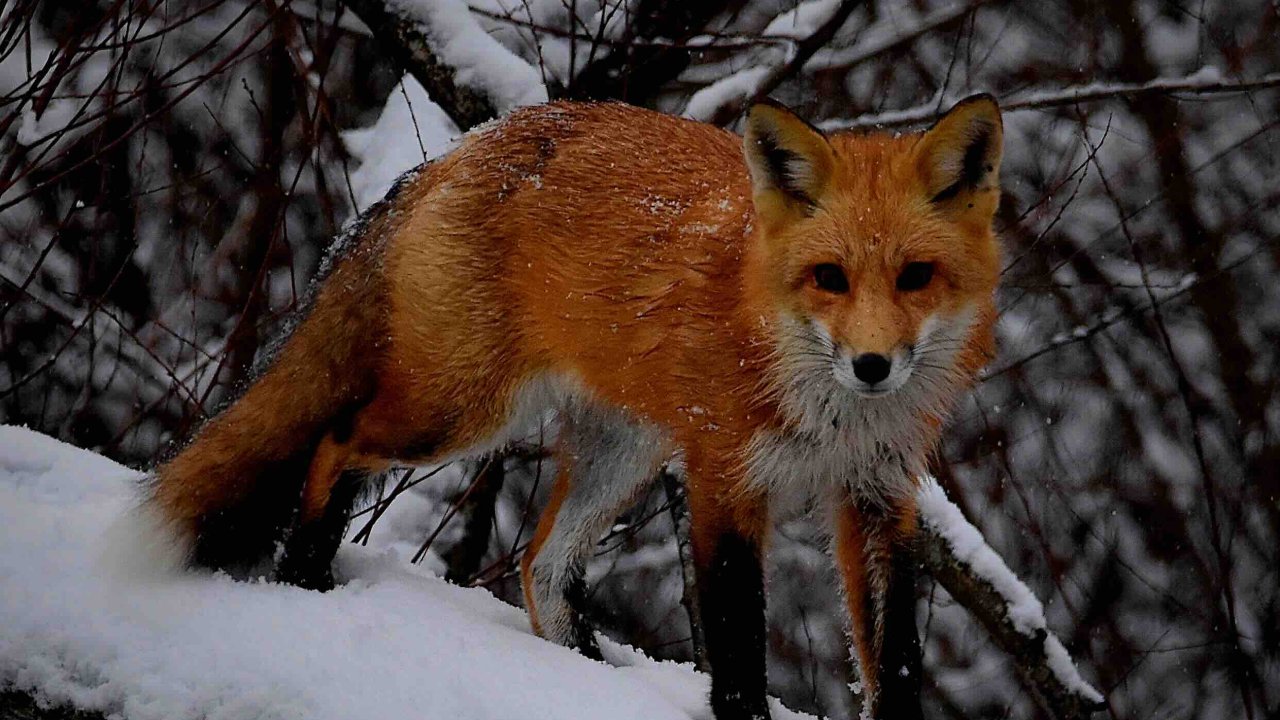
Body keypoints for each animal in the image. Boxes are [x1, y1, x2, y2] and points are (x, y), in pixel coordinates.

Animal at [137, 96, 1002, 720]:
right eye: (830, 278)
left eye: (915, 277)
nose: (872, 367)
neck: (831, 413)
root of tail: (463, 146)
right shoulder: (725, 476)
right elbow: (735, 641)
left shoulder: (877, 493)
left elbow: (894, 658)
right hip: (460, 410)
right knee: (335, 444)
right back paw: (305, 576)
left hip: (623, 450)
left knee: (539, 566)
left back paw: (584, 675)